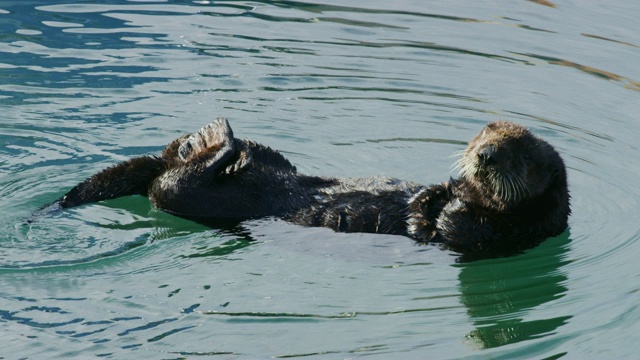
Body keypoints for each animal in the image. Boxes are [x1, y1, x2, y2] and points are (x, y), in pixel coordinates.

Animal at [47, 119, 572, 260]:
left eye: (521, 155)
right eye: (484, 134)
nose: (484, 156)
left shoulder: (493, 237)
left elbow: (447, 222)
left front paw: (440, 198)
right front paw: (444, 185)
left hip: (190, 199)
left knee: (172, 184)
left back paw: (220, 139)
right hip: (270, 161)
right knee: (183, 159)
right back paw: (207, 139)